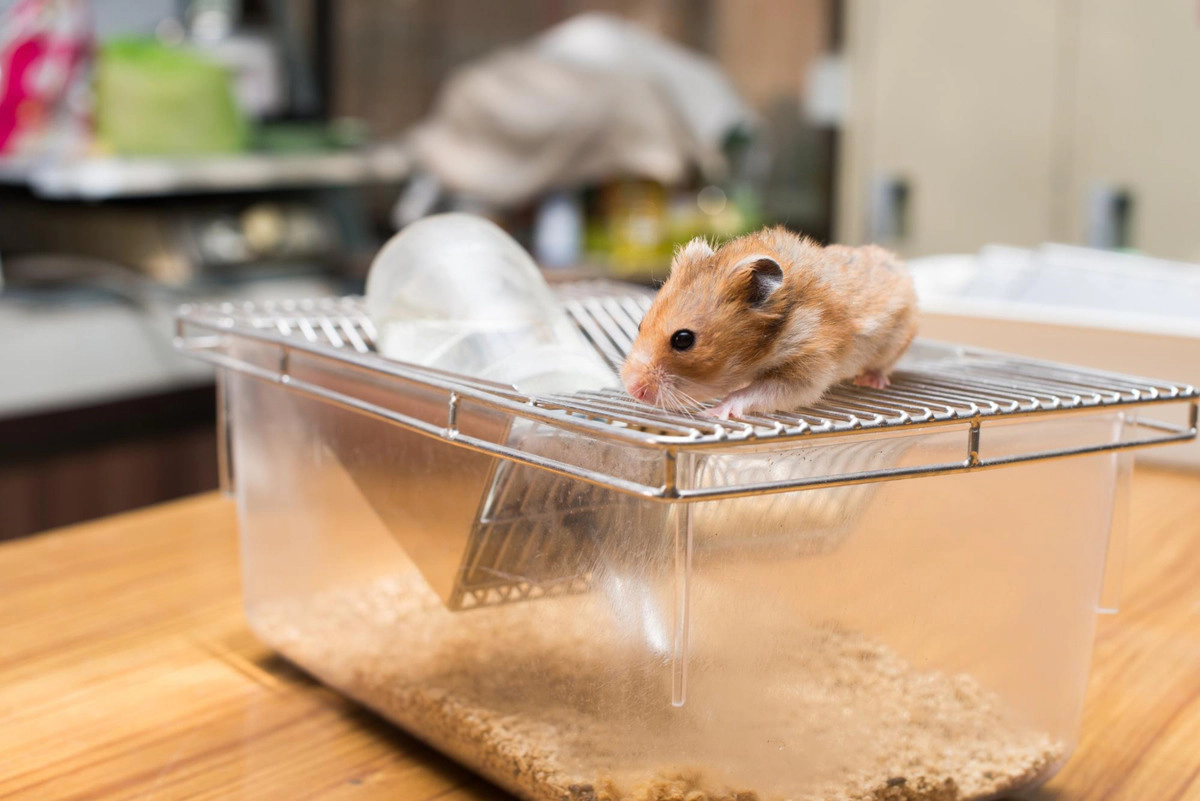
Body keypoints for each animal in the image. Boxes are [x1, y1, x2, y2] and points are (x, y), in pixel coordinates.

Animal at [620, 227, 917, 419]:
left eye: (683, 339)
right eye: (640, 325)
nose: (632, 390)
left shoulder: (808, 367)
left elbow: (753, 392)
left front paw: (715, 412)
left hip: (896, 339)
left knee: (883, 366)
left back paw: (870, 380)